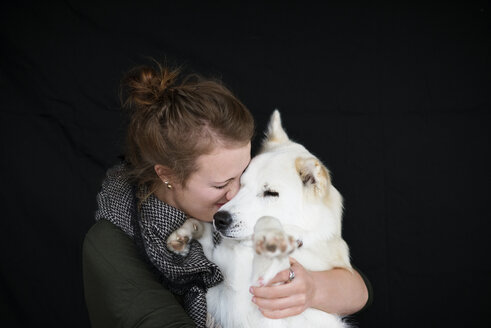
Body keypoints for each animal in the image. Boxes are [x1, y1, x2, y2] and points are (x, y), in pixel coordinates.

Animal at [169, 111, 354, 328]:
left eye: (270, 193)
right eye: (240, 184)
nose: (220, 219)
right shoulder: (220, 288)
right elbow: (203, 232)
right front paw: (183, 236)